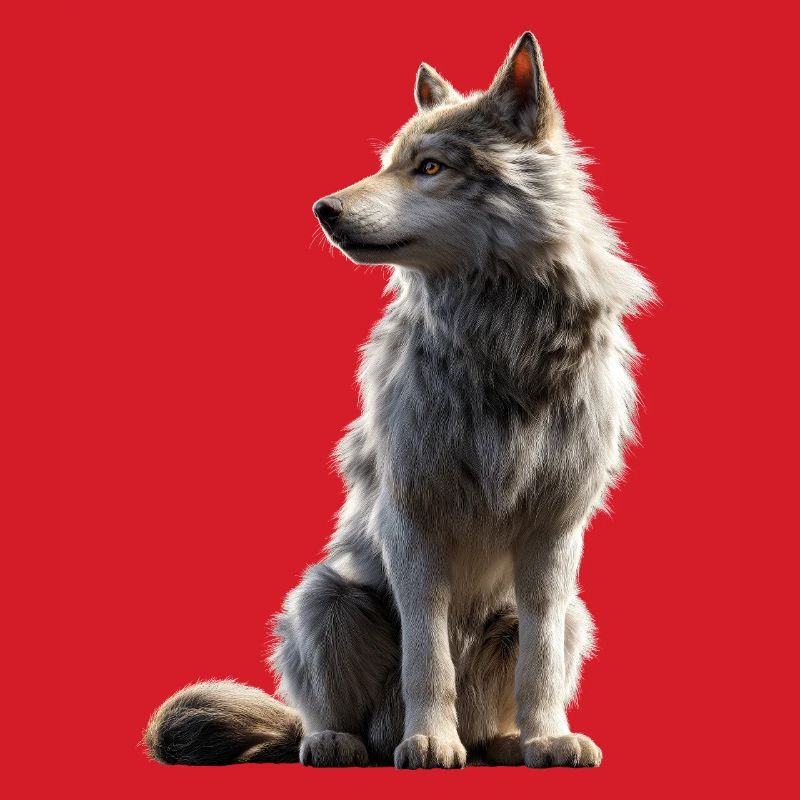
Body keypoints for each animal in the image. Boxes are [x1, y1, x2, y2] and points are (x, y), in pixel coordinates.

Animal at [145, 31, 653, 769]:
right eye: (389, 164)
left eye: (430, 167)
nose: (323, 209)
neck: (499, 339)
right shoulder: (412, 521)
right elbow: (427, 655)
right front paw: (430, 741)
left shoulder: (555, 532)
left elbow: (540, 664)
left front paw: (549, 738)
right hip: (324, 598)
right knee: (328, 715)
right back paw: (342, 742)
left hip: (574, 614)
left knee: (520, 680)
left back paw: (504, 743)